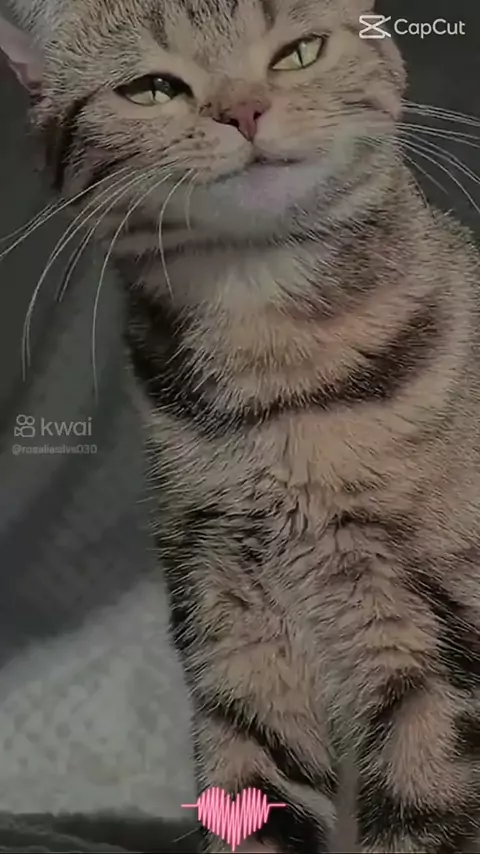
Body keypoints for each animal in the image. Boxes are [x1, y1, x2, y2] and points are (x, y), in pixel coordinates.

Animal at [1, 1, 480, 852]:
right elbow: (251, 797)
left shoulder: (438, 644)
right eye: (154, 88)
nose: (244, 110)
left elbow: (425, 811)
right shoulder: (227, 612)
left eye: (299, 52)